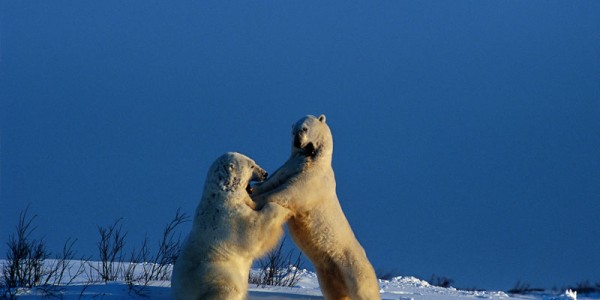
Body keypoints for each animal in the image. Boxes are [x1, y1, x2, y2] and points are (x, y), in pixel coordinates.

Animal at [170, 152, 292, 300]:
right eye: (251, 166)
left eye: (254, 162)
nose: (265, 173)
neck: (224, 194)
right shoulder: (231, 217)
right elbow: (254, 231)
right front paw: (283, 209)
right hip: (217, 273)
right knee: (229, 289)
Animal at [253, 115, 380, 300]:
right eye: (293, 131)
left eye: (305, 128)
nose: (298, 142)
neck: (314, 161)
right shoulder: (291, 167)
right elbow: (273, 182)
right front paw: (251, 189)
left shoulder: (312, 181)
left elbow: (287, 193)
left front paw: (253, 199)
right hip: (328, 272)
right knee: (334, 291)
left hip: (353, 265)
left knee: (364, 289)